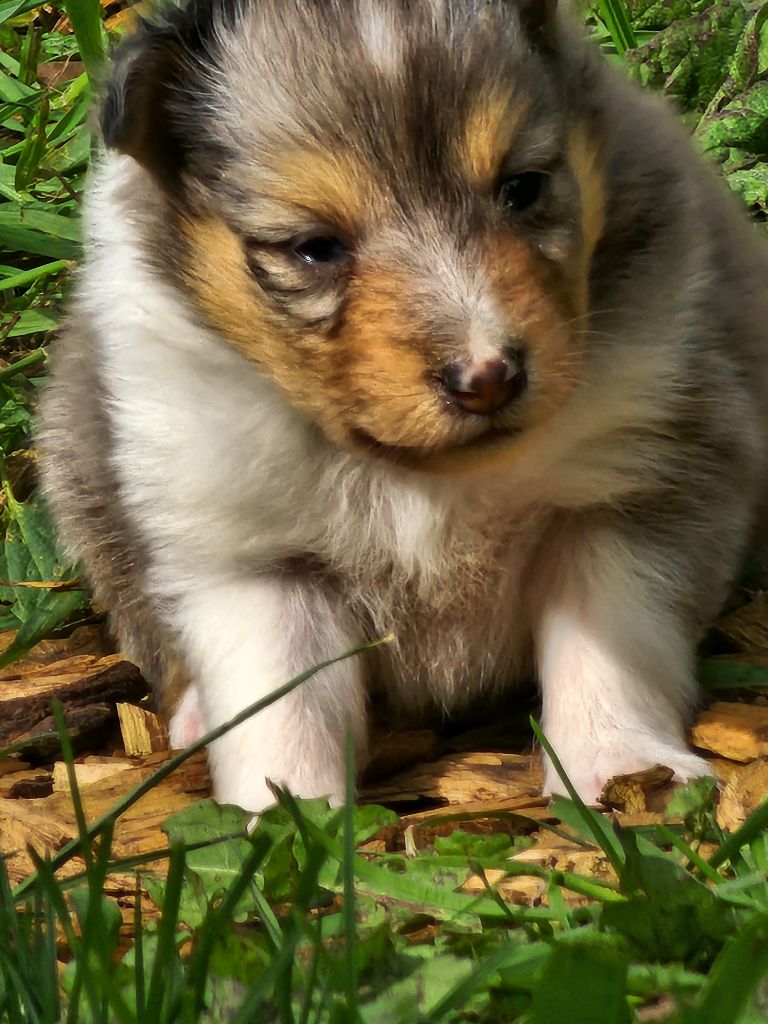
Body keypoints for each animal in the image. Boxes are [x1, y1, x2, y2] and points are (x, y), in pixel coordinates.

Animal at [38, 0, 768, 811]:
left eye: (521, 187)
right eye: (315, 247)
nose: (488, 377)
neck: (430, 479)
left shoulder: (635, 482)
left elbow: (610, 650)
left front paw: (624, 770)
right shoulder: (255, 559)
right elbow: (282, 705)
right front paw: (286, 818)